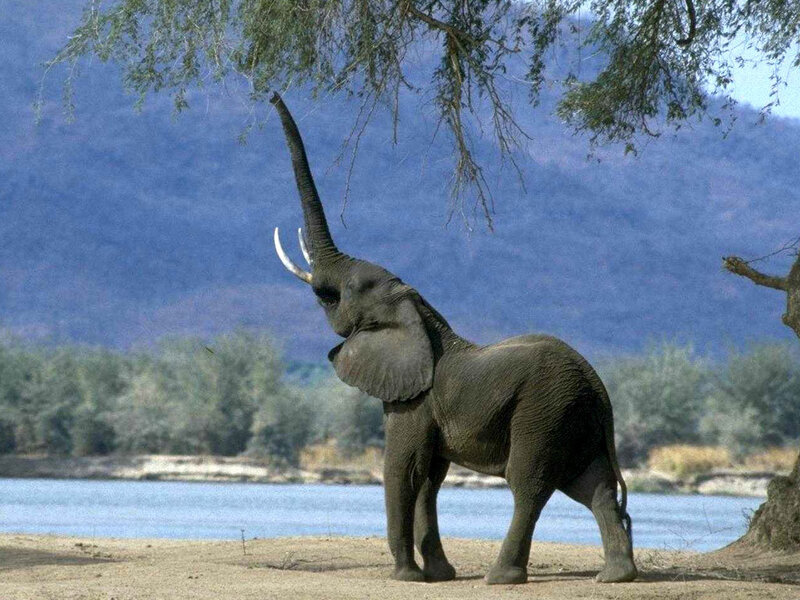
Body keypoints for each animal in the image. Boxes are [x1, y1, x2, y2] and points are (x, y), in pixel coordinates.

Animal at [268, 92, 637, 585]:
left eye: (342, 293)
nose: (272, 93)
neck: (418, 312)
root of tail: (599, 387)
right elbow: (429, 478)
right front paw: (439, 574)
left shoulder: (413, 399)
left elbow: (404, 470)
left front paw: (405, 577)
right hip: (575, 416)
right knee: (592, 485)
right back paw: (616, 576)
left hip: (544, 409)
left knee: (530, 483)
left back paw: (502, 577)